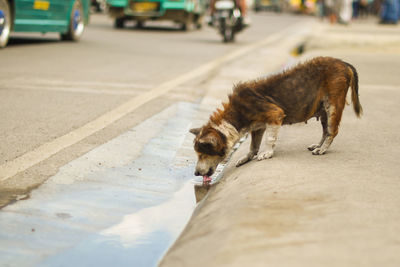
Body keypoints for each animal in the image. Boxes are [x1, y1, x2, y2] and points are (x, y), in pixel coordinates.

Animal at [191, 56, 362, 182]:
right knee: (325, 131)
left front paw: (267, 153)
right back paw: (318, 145)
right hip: (324, 110)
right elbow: (253, 146)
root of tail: (343, 63)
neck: (236, 115)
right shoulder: (258, 127)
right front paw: (247, 157)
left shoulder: (275, 114)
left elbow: (269, 139)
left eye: (202, 155)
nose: (196, 174)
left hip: (333, 104)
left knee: (332, 131)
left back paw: (322, 149)